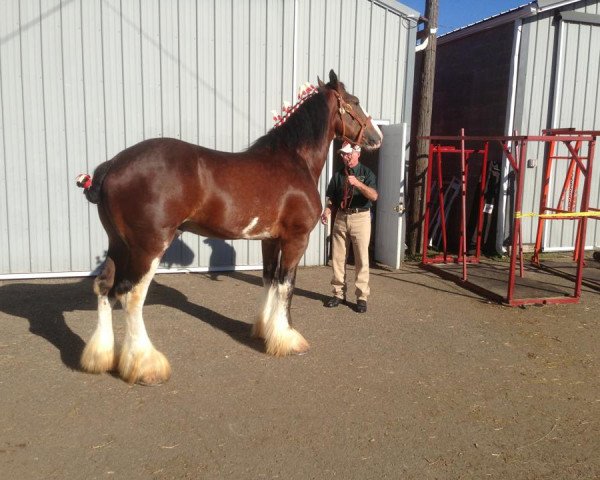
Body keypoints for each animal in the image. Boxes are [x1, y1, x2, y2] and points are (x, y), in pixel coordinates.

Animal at [77, 69, 382, 384]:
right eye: (355, 102)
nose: (376, 137)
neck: (294, 161)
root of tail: (113, 165)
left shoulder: (270, 240)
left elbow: (269, 279)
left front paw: (264, 330)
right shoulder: (296, 239)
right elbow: (287, 285)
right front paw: (287, 339)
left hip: (118, 244)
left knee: (105, 287)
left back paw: (100, 356)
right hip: (148, 248)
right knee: (131, 295)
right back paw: (146, 365)